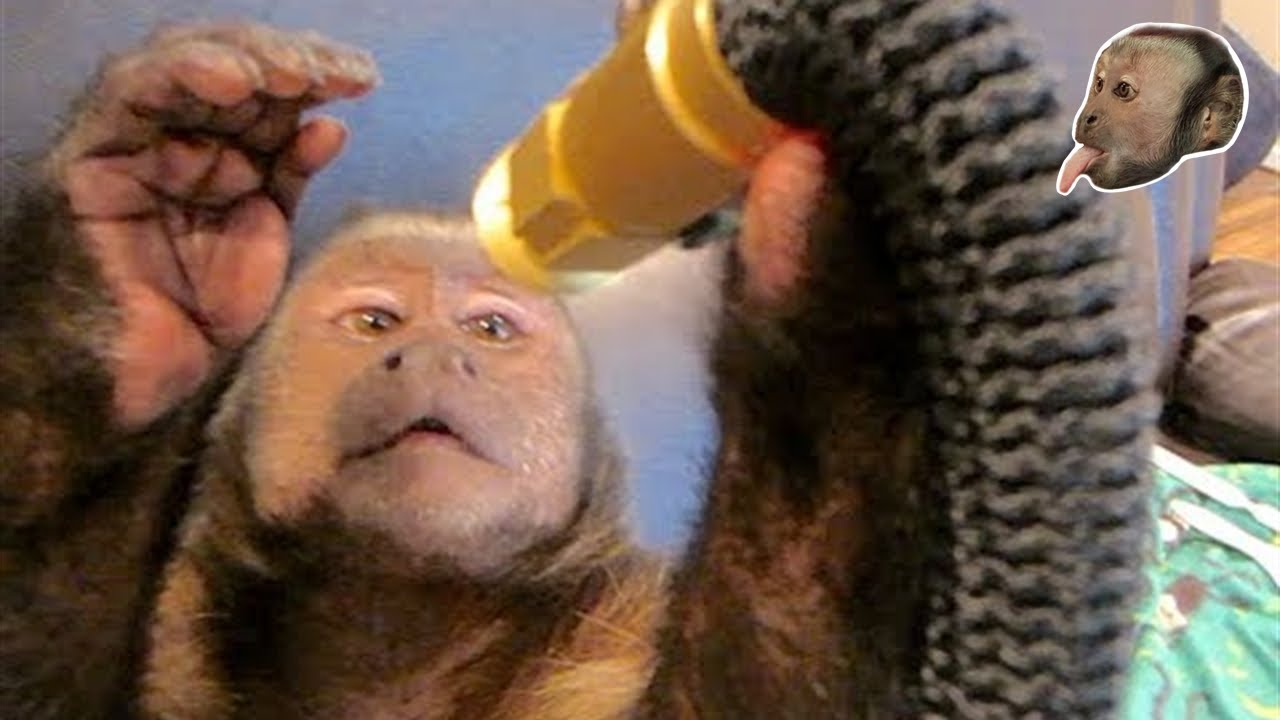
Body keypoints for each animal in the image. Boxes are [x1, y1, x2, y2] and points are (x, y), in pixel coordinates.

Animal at [1, 20, 930, 720]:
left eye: (488, 329)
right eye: (375, 322)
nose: (434, 353)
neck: (409, 624)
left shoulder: (611, 640)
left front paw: (824, 239)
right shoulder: (182, 638)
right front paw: (143, 258)